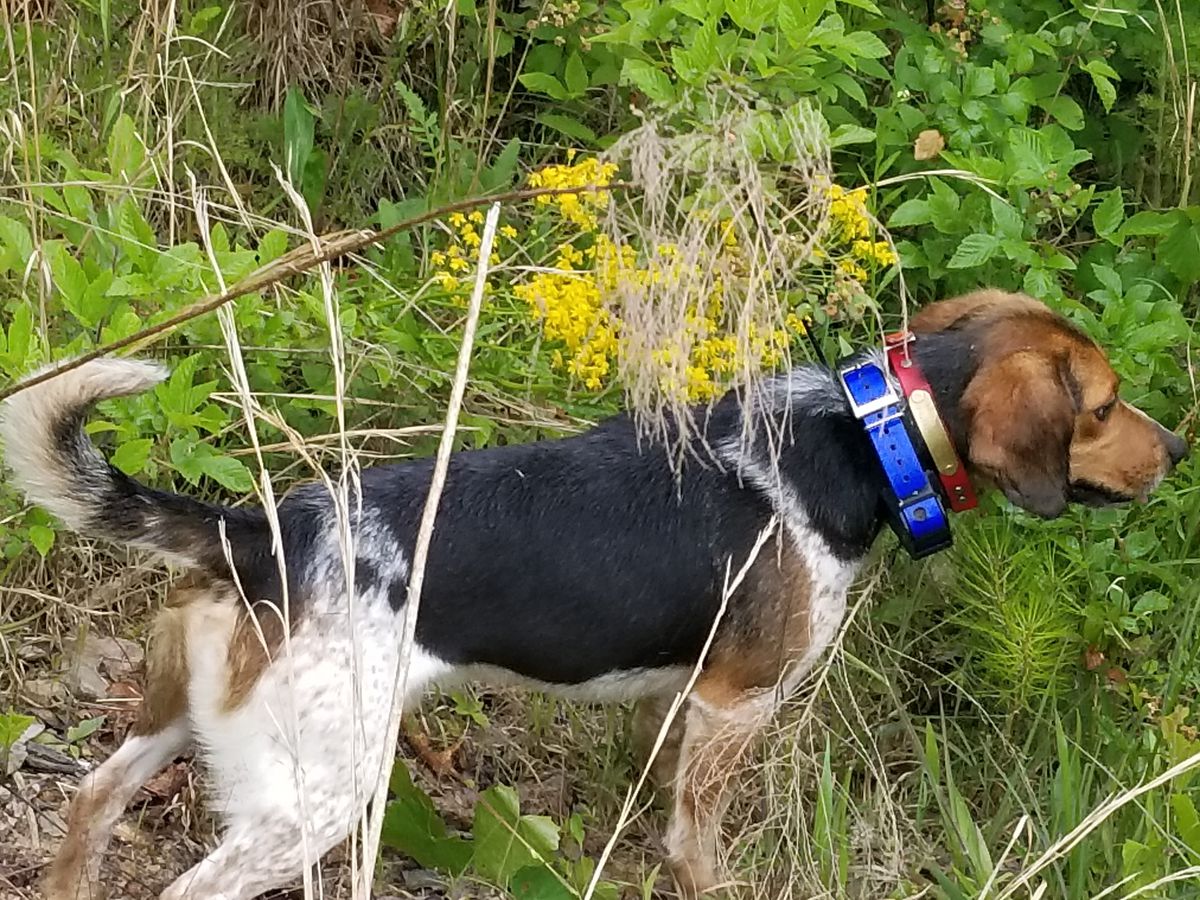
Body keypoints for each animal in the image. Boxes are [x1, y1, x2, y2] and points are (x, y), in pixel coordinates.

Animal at [0, 290, 1180, 900]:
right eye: (1104, 407)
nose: (1178, 448)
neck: (861, 435)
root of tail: (263, 529)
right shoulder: (736, 708)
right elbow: (700, 850)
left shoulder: (677, 706)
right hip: (315, 794)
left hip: (176, 718)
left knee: (91, 800)